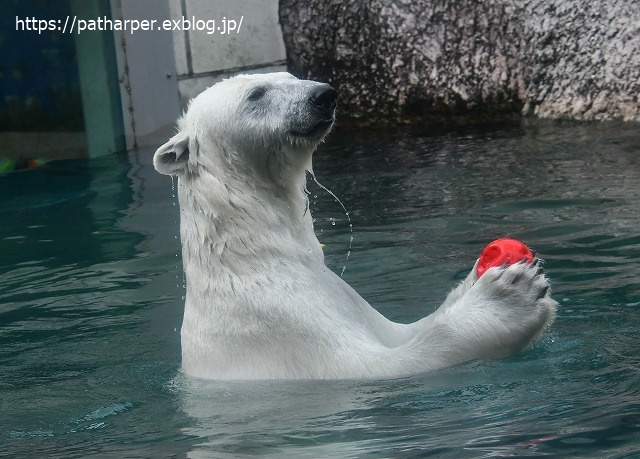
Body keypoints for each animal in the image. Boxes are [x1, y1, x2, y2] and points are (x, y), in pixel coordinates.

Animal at [154, 73, 556, 380]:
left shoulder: (342, 300)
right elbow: (383, 364)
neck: (252, 256)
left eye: (290, 75)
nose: (323, 95)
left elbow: (400, 332)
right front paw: (511, 295)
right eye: (256, 94)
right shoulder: (280, 327)